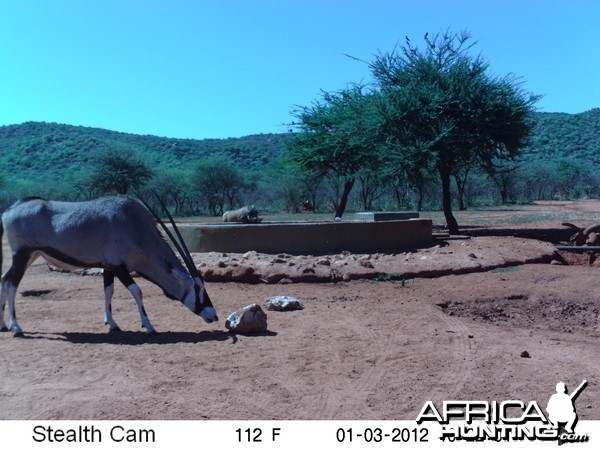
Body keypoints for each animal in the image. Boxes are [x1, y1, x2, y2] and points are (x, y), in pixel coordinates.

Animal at [0, 195, 219, 336]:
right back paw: (16, 327)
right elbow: (137, 291)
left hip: (30, 256)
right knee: (12, 284)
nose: (214, 315)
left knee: (4, 279)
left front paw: (112, 324)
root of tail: (9, 210)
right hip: (23, 254)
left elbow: (108, 291)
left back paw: (3, 325)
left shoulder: (108, 266)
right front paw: (148, 326)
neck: (135, 225)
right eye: (197, 289)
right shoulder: (119, 266)